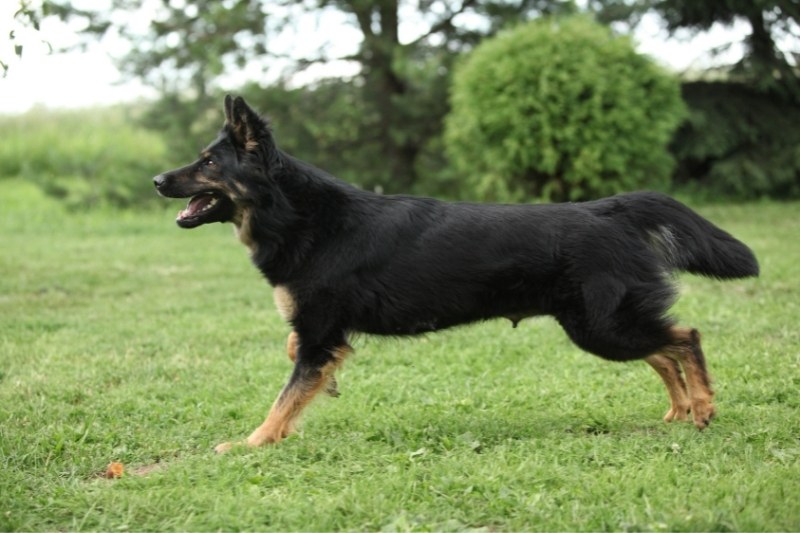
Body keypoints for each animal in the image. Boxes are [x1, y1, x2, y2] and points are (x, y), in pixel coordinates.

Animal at [153, 94, 760, 448]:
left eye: (209, 163)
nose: (157, 180)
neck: (300, 214)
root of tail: (606, 208)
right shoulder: (319, 334)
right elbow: (296, 362)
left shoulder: (321, 332)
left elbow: (284, 398)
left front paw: (254, 443)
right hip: (605, 327)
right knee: (664, 348)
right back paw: (681, 408)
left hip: (601, 327)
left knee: (685, 337)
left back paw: (703, 407)